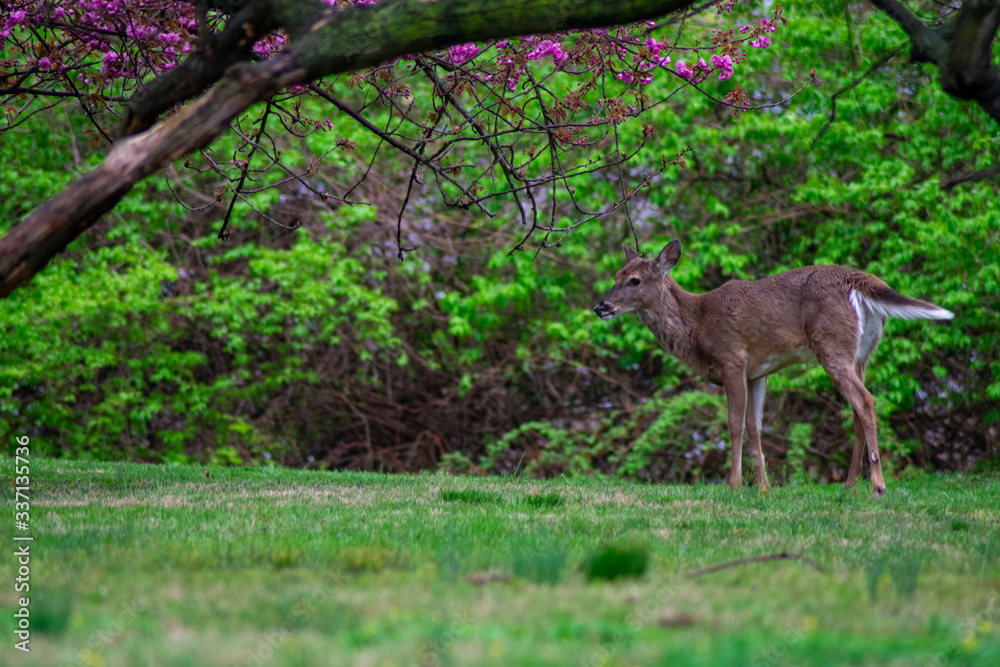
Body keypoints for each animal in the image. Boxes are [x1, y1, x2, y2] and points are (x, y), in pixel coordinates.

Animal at [593, 240, 953, 497]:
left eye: (634, 280)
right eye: (616, 276)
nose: (601, 306)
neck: (697, 327)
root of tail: (860, 282)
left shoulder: (732, 358)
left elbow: (735, 424)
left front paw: (735, 485)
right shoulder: (758, 371)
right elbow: (755, 427)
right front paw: (763, 487)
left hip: (832, 344)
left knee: (865, 401)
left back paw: (878, 486)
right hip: (862, 352)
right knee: (858, 409)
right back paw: (851, 486)